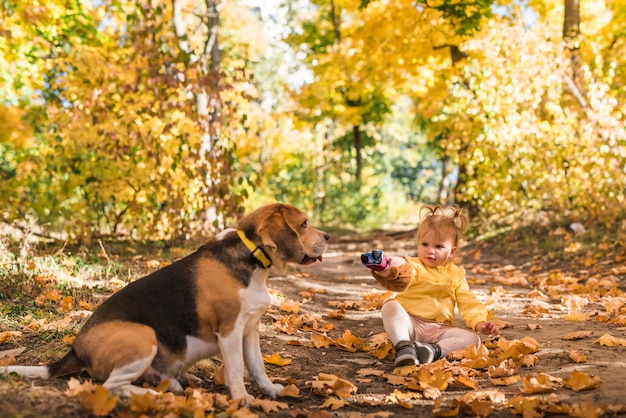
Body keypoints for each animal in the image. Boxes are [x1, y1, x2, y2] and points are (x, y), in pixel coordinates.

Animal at [0, 202, 330, 404]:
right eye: (303, 224)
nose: (327, 236)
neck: (253, 259)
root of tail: (75, 349)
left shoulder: (250, 330)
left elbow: (258, 367)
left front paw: (270, 390)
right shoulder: (229, 332)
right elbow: (237, 369)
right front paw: (241, 400)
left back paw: (171, 383)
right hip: (142, 336)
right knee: (109, 387)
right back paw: (153, 395)